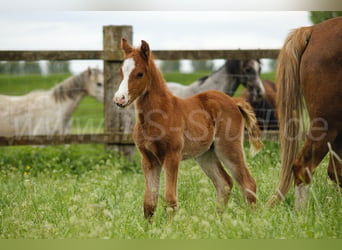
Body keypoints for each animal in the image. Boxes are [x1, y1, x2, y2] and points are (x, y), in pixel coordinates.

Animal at [113, 38, 264, 219]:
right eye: (121, 71)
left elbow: (170, 201)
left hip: (228, 147)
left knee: (248, 183)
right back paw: (216, 221)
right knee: (224, 183)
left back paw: (254, 221)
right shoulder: (148, 159)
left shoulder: (172, 156)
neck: (159, 114)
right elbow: (149, 203)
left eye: (140, 73)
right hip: (206, 154)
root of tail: (234, 101)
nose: (119, 99)